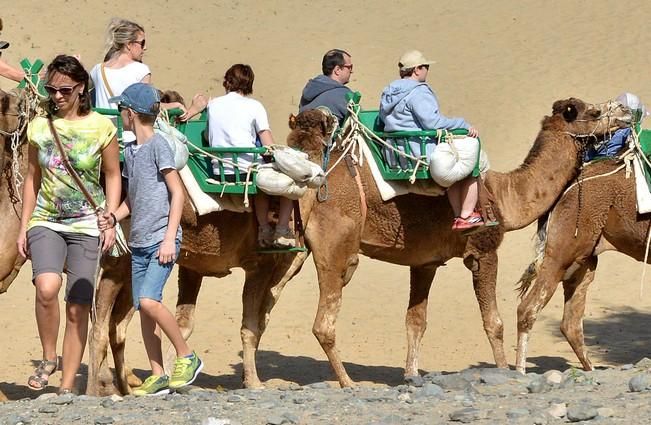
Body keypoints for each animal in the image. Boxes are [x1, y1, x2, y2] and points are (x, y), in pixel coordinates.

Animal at [516, 154, 648, 372]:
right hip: (561, 252)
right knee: (528, 309)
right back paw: (520, 372)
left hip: (583, 261)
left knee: (571, 323)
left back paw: (591, 369)